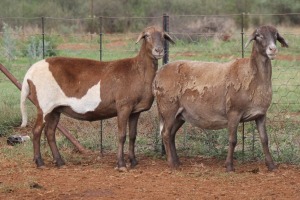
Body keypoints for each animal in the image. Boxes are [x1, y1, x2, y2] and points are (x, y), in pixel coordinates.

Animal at [21, 25, 175, 171]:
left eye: (163, 36)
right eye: (147, 36)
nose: (159, 50)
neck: (138, 71)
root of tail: (29, 73)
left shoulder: (135, 111)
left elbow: (132, 136)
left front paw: (133, 161)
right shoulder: (123, 106)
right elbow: (122, 135)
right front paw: (121, 164)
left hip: (55, 109)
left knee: (50, 132)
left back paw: (60, 162)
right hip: (44, 105)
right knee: (36, 131)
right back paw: (40, 163)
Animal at [154, 25, 290, 172]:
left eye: (276, 35)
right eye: (258, 36)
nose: (273, 49)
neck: (253, 76)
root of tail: (158, 74)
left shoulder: (261, 114)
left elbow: (265, 139)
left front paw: (271, 166)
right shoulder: (233, 112)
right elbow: (233, 140)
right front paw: (229, 166)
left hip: (180, 114)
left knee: (171, 134)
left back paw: (177, 161)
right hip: (168, 108)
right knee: (166, 133)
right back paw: (172, 164)